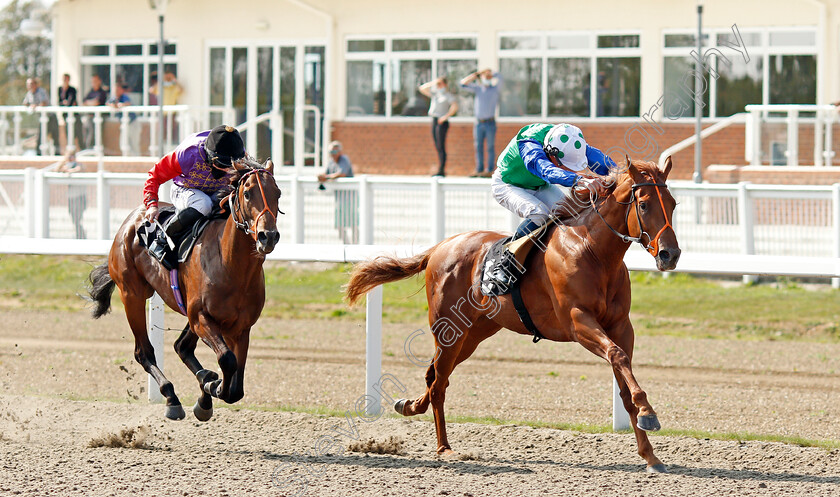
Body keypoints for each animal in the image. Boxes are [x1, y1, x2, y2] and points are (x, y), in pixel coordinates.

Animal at [87, 158, 280, 418]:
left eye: (277, 193)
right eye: (248, 193)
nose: (267, 236)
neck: (230, 263)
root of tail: (131, 219)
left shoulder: (239, 327)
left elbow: (235, 389)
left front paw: (209, 388)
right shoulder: (201, 317)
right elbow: (227, 361)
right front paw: (211, 387)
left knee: (182, 347)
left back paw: (203, 382)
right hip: (132, 294)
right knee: (144, 352)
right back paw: (171, 398)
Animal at [344, 157, 680, 470]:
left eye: (673, 204)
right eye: (644, 204)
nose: (670, 254)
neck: (592, 251)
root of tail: (440, 247)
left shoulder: (621, 326)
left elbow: (623, 381)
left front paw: (650, 453)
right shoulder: (577, 321)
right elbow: (618, 356)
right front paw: (648, 413)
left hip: (474, 334)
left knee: (435, 374)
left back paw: (410, 405)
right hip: (448, 328)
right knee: (439, 383)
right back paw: (444, 448)